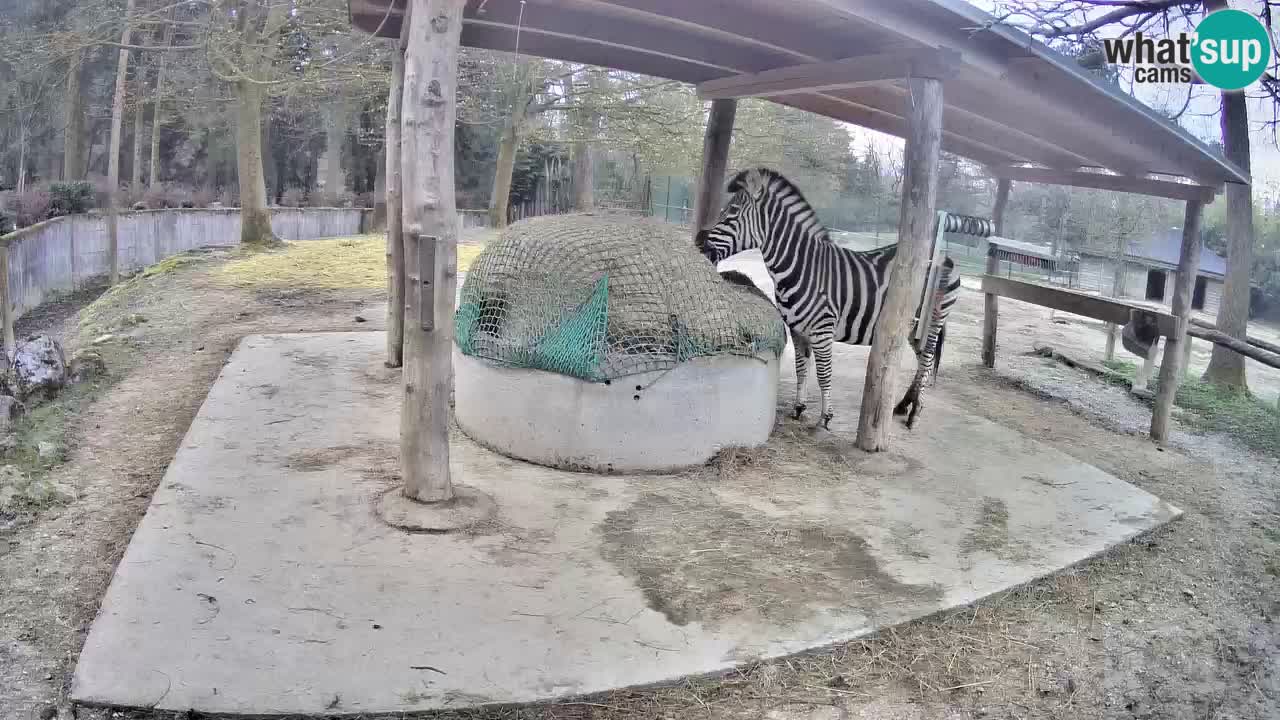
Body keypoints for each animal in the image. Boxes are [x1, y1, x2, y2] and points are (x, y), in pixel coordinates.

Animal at [695, 167, 961, 431]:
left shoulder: (822, 329)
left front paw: (825, 417)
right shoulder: (797, 329)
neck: (801, 267)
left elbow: (823, 374)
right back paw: (904, 405)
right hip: (914, 329)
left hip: (932, 322)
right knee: (922, 361)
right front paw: (798, 408)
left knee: (927, 361)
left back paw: (914, 413)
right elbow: (801, 368)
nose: (698, 243)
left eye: (730, 213)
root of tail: (944, 257)